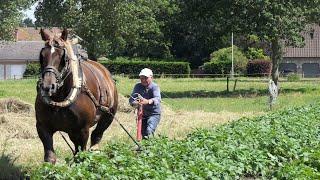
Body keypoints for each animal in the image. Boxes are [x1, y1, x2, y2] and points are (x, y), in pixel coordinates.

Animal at [35, 28, 117, 164]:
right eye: (42, 55)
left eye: (63, 57)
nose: (48, 87)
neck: (59, 100)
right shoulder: (43, 127)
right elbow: (50, 157)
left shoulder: (83, 130)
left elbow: (81, 155)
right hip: (71, 131)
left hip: (108, 117)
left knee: (96, 136)